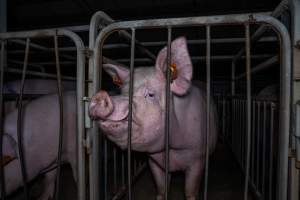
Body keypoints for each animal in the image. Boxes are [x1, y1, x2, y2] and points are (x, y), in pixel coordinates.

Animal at [89, 37, 218, 200]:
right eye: (123, 92)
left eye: (150, 94)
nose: (100, 96)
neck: (171, 150)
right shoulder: (153, 160)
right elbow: (162, 188)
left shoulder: (198, 158)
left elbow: (190, 191)